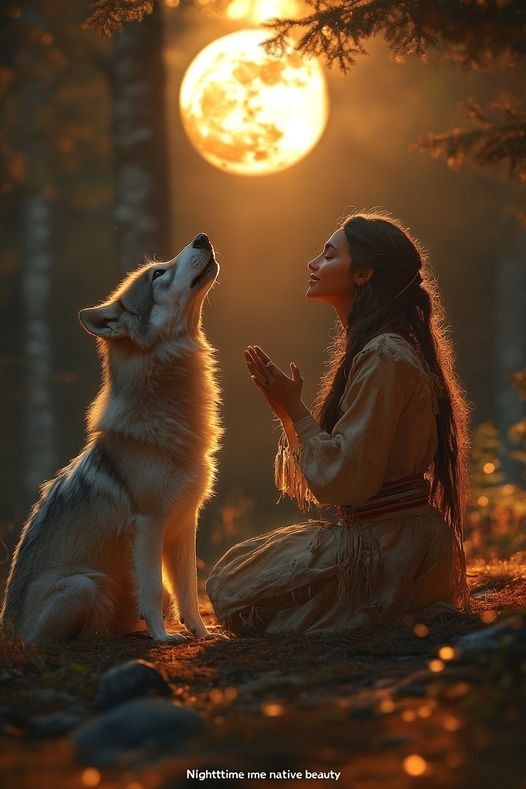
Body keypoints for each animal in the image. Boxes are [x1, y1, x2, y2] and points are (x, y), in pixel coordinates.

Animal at [0, 231, 224, 644]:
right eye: (157, 274)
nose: (202, 238)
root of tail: (8, 628)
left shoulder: (185, 523)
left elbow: (186, 590)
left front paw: (202, 633)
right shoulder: (149, 523)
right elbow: (154, 590)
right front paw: (164, 637)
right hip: (85, 585)